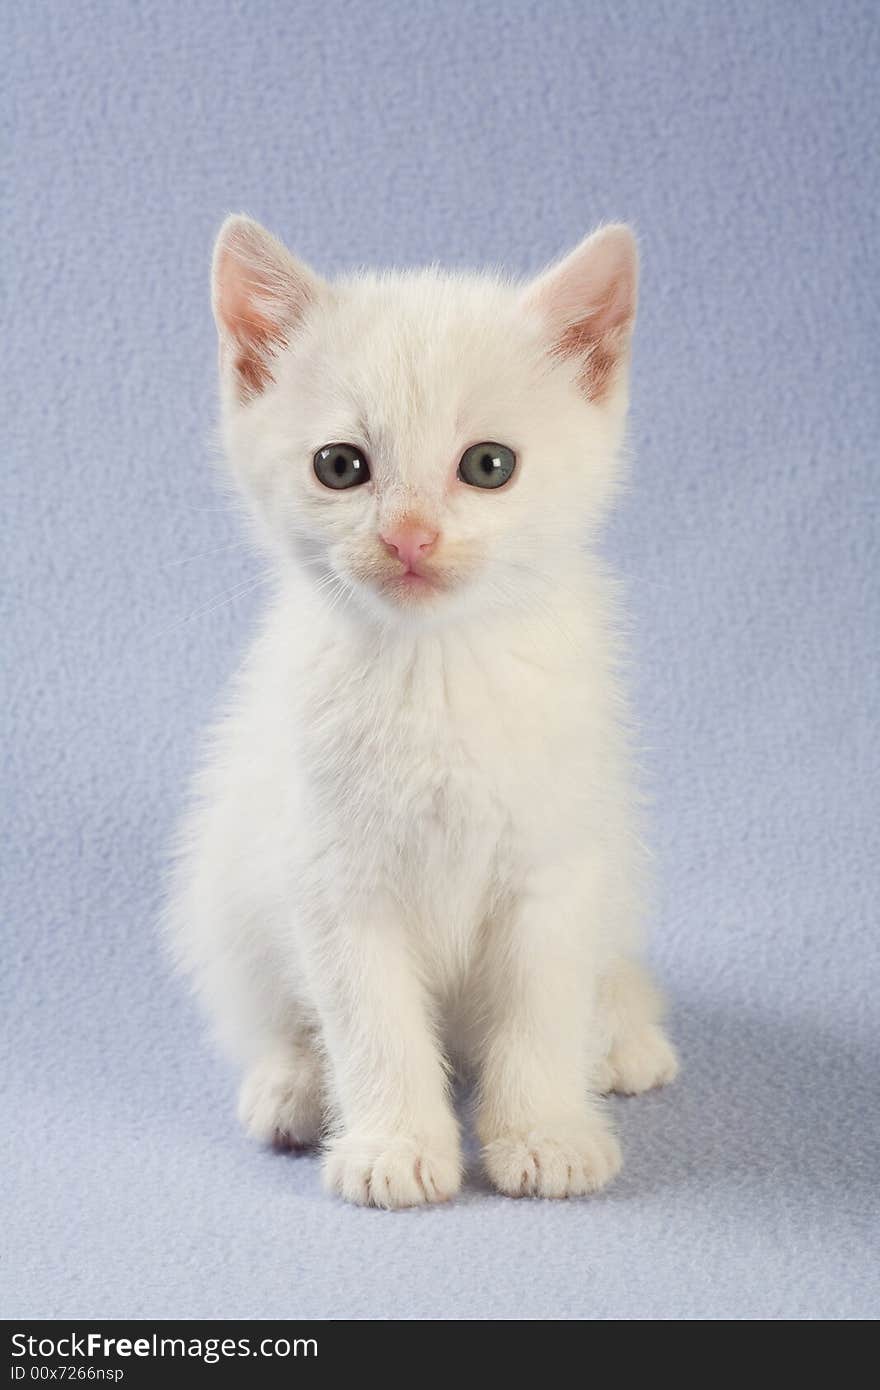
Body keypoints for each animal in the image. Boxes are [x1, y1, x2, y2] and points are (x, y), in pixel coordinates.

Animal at [164, 214, 675, 1206]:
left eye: (489, 465)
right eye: (340, 466)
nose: (410, 536)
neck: (431, 666)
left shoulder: (554, 861)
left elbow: (540, 1006)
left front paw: (545, 1133)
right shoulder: (329, 875)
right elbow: (371, 1020)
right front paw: (393, 1145)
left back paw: (621, 1037)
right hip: (225, 883)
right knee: (265, 1005)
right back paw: (292, 1084)